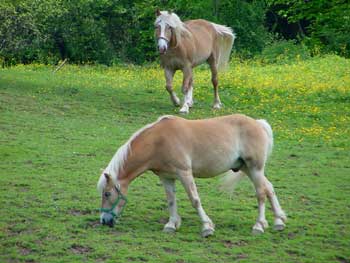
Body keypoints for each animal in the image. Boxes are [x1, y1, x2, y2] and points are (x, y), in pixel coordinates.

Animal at [97, 114, 286, 238]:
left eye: (107, 193)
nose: (104, 220)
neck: (158, 141)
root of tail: (259, 123)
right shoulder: (166, 177)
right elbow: (171, 201)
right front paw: (171, 225)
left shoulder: (184, 173)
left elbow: (194, 199)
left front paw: (207, 227)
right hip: (248, 169)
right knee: (269, 189)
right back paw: (278, 221)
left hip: (255, 169)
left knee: (261, 193)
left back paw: (259, 226)